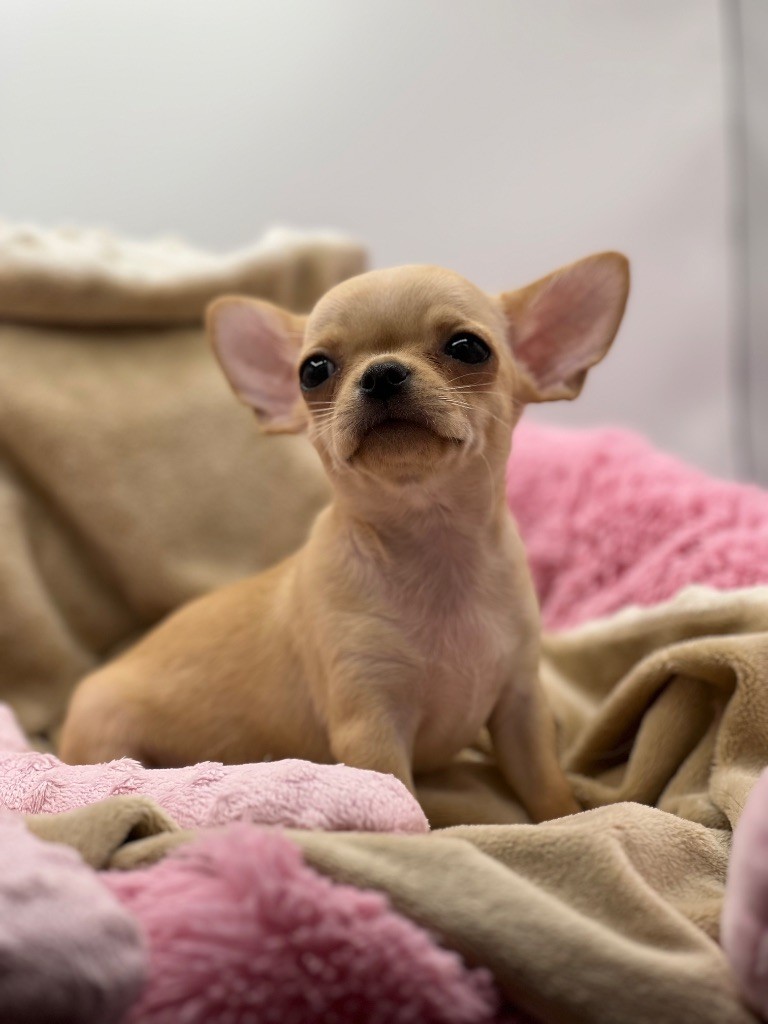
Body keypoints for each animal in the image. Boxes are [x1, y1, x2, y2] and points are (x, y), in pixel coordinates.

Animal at [59, 253, 629, 822]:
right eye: (314, 371)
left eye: (468, 348)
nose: (381, 373)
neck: (435, 546)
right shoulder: (371, 726)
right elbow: (403, 801)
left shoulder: (520, 707)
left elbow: (547, 786)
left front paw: (570, 817)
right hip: (107, 735)